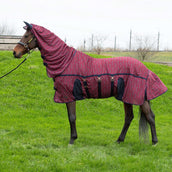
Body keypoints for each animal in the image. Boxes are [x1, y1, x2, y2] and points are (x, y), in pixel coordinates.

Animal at [13, 21, 167, 145]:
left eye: (26, 35)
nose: (15, 52)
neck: (66, 61)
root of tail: (145, 69)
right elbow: (71, 117)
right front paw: (73, 138)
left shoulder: (69, 95)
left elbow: (72, 117)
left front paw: (72, 140)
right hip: (127, 97)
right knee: (129, 117)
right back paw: (119, 140)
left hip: (138, 97)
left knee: (150, 117)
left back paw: (154, 142)